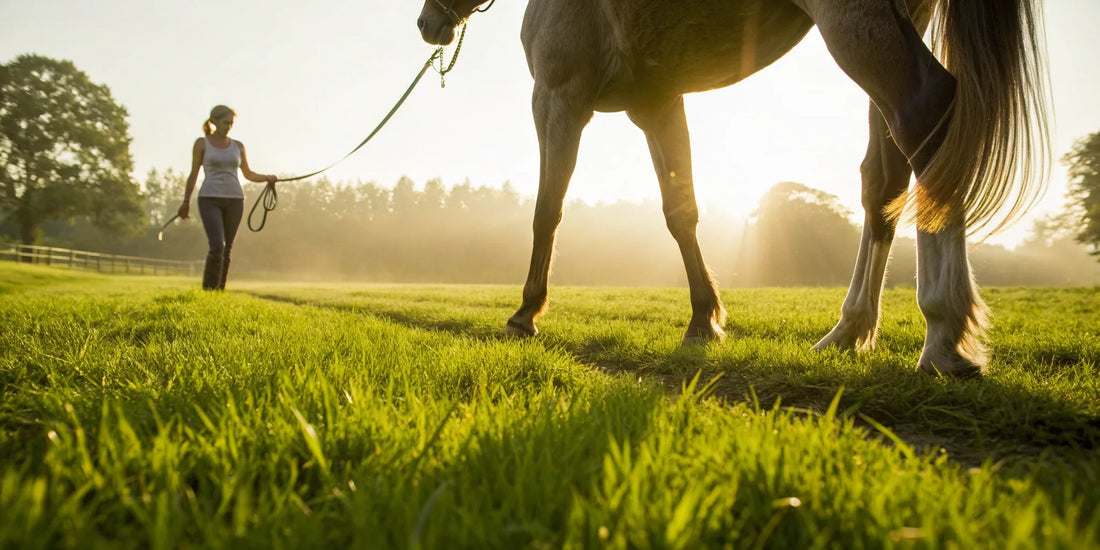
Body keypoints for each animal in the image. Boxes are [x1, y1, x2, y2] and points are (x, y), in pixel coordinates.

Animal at [417, 0, 1050, 378]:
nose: (427, 25)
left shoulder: (558, 95)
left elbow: (547, 209)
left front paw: (526, 313)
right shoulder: (657, 103)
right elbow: (681, 212)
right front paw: (704, 320)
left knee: (926, 114)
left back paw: (943, 332)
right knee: (885, 181)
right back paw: (849, 330)